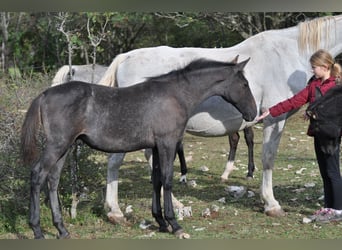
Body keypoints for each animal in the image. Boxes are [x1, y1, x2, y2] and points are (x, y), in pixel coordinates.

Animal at [97, 15, 342, 223]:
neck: (287, 52)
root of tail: (126, 57)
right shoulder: (275, 120)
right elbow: (268, 158)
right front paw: (271, 204)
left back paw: (175, 204)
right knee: (116, 162)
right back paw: (115, 211)